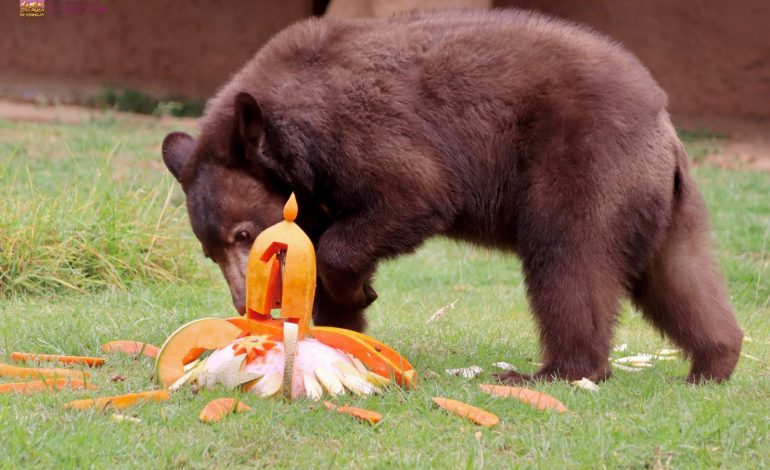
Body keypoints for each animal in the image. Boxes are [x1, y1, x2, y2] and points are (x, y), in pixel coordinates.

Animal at [164, 9, 744, 384]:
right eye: (208, 250)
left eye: (244, 233)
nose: (241, 301)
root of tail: (663, 124)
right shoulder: (315, 194)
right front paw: (339, 327)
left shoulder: (364, 134)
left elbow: (412, 194)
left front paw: (355, 292)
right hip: (658, 200)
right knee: (679, 274)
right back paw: (714, 361)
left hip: (583, 165)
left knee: (570, 263)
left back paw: (552, 371)